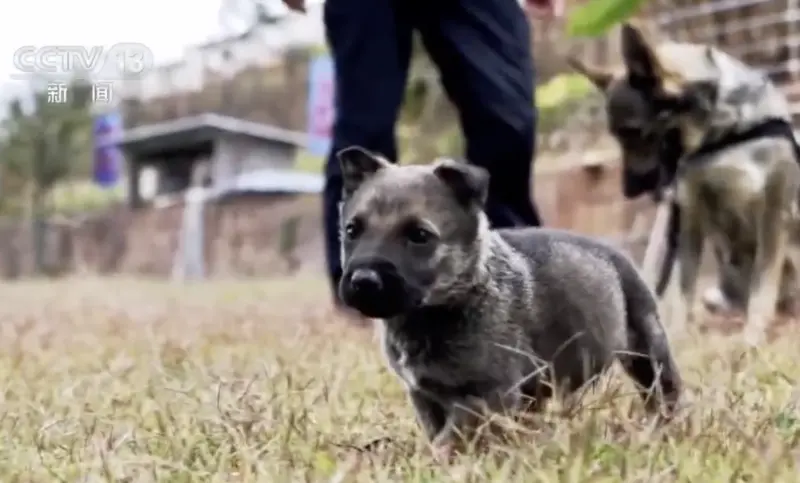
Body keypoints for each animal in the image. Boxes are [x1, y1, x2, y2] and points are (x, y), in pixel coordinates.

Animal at [336, 147, 680, 454]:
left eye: (420, 235)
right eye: (352, 230)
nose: (363, 280)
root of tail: (614, 252)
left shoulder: (487, 396)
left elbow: (451, 437)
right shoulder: (425, 396)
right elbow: (438, 432)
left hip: (648, 348)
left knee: (664, 390)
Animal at [568, 23, 800, 348]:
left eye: (634, 131)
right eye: (617, 136)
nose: (628, 191)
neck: (722, 133)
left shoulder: (774, 212)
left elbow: (762, 289)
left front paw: (751, 340)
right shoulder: (690, 217)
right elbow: (681, 294)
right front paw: (676, 339)